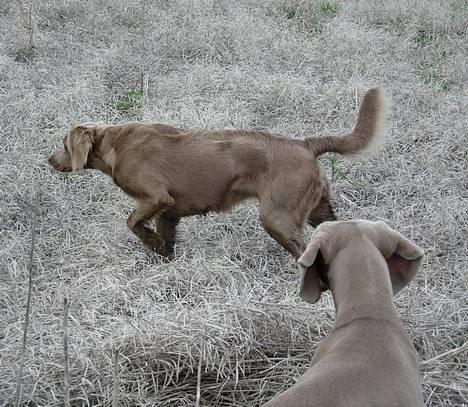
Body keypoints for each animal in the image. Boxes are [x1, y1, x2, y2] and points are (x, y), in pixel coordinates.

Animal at [49, 88, 390, 258]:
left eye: (64, 144)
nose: (49, 160)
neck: (115, 144)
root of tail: (305, 144)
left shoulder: (155, 197)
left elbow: (132, 222)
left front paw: (150, 243)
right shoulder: (169, 212)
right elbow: (167, 241)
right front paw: (162, 258)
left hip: (278, 216)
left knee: (303, 251)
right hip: (316, 207)